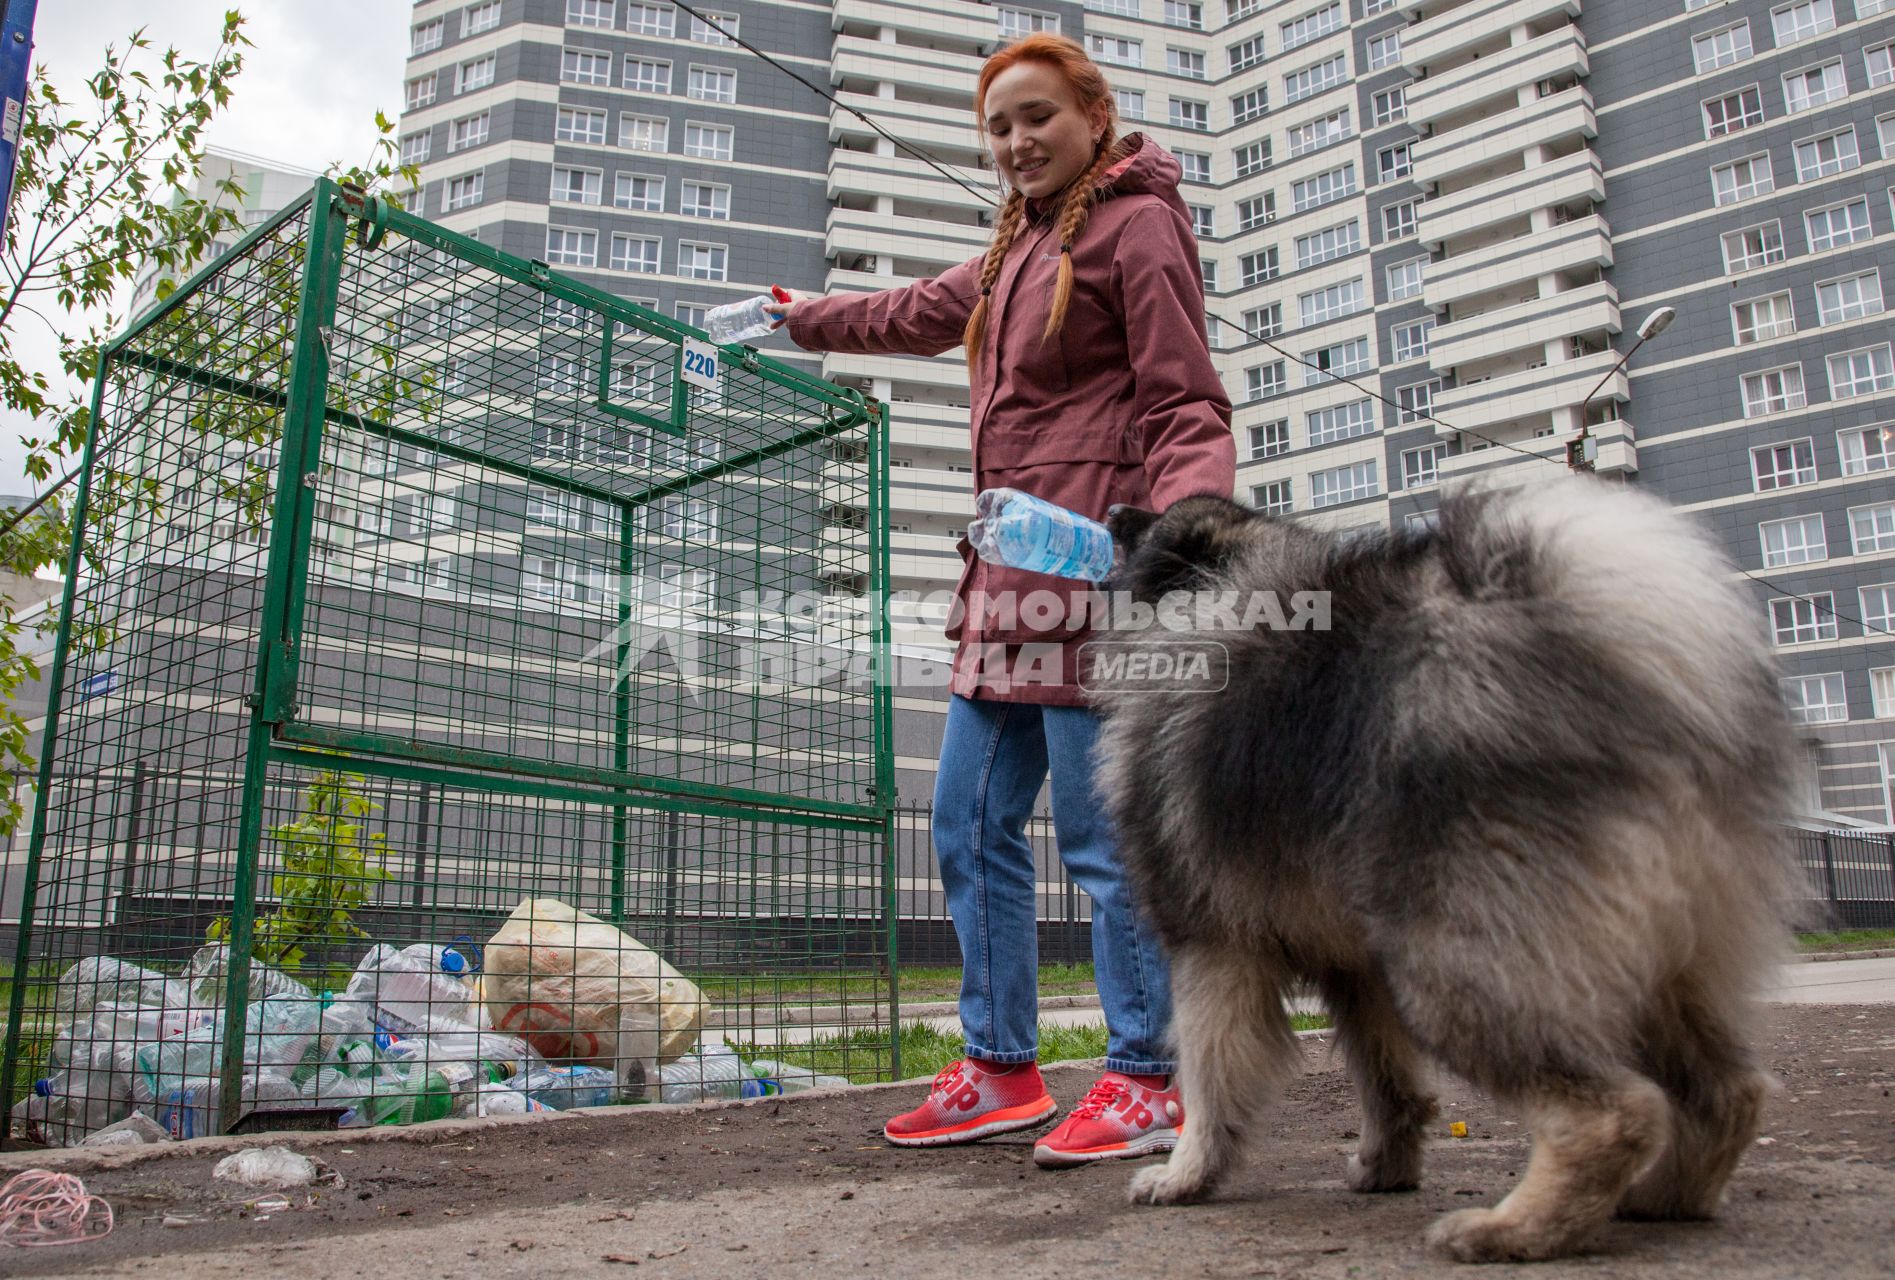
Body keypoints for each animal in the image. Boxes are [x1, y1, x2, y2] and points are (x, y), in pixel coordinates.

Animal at [1091, 477, 1796, 1259]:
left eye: (1150, 525)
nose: (1113, 509)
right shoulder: (1357, 966)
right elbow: (1387, 1080)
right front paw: (1385, 1166)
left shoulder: (1212, 945)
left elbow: (1210, 1074)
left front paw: (1186, 1176)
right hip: (1653, 963)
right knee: (1730, 1092)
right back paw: (1666, 1198)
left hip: (1455, 963)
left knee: (1614, 1113)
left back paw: (1513, 1230)